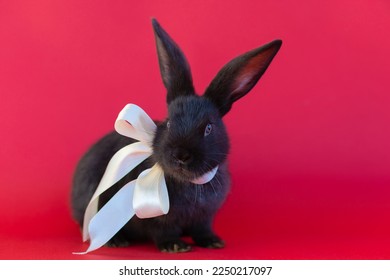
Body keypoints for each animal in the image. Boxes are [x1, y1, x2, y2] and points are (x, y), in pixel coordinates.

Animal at [71, 18, 282, 253]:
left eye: (209, 128)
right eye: (169, 122)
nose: (181, 155)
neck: (188, 182)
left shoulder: (205, 216)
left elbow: (202, 229)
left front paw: (213, 242)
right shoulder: (158, 220)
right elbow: (164, 231)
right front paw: (175, 246)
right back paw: (116, 241)